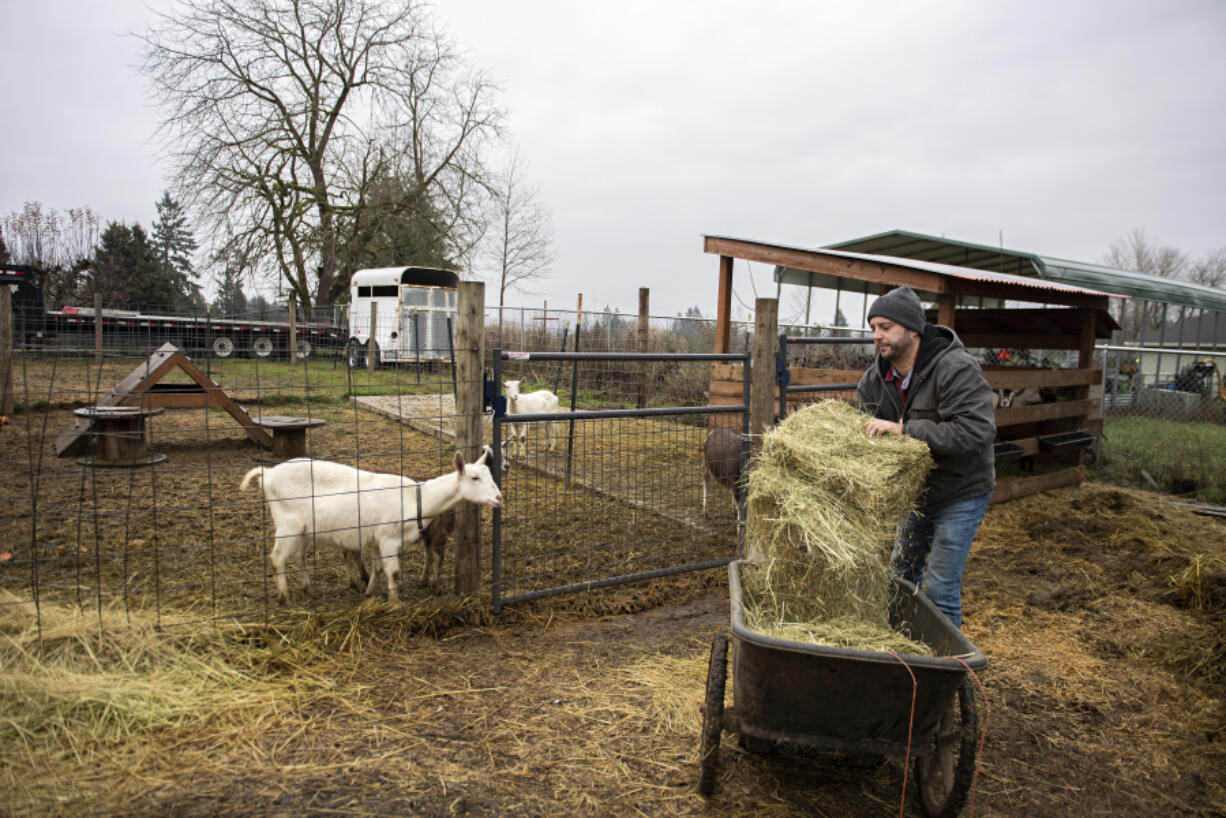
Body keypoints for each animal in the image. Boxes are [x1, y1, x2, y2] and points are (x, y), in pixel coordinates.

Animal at [241, 443, 500, 605]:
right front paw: (394, 603)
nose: (499, 498)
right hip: (288, 524)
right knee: (277, 558)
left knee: (298, 557)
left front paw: (369, 592)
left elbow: (377, 568)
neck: (415, 498)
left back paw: (311, 591)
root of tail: (267, 474)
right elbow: (393, 571)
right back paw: (285, 598)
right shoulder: (388, 539)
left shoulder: (377, 539)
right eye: (474, 477)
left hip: (304, 530)